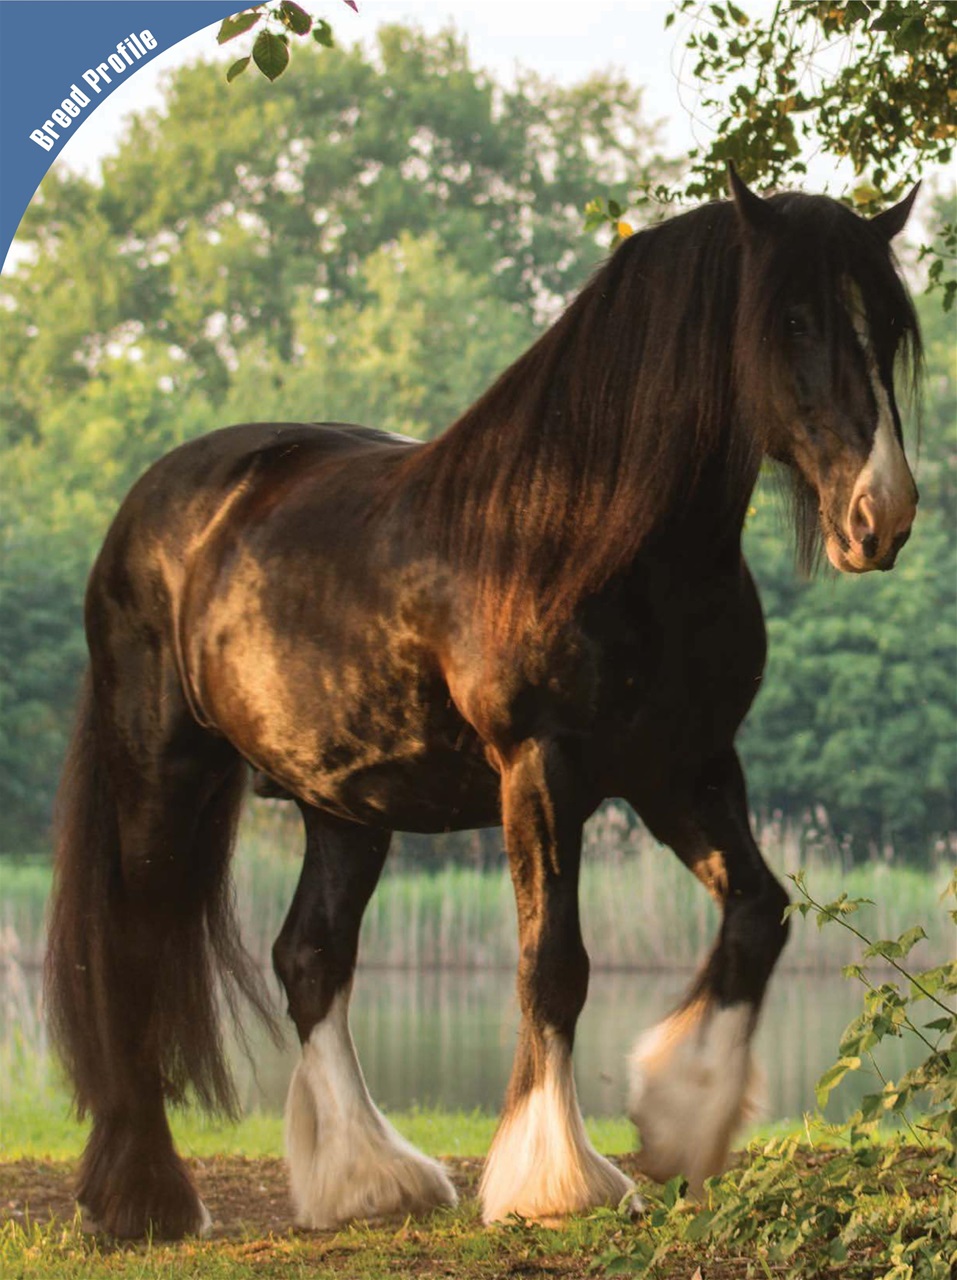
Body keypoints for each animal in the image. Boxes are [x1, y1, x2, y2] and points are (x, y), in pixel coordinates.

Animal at [44, 169, 922, 1239]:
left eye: (886, 328)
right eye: (791, 320)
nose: (882, 514)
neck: (584, 533)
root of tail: (154, 502)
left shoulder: (686, 767)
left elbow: (758, 911)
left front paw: (679, 1117)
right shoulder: (542, 768)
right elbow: (554, 963)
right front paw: (556, 1179)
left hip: (343, 801)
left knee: (310, 957)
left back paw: (367, 1179)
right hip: (161, 775)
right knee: (131, 955)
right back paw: (147, 1198)